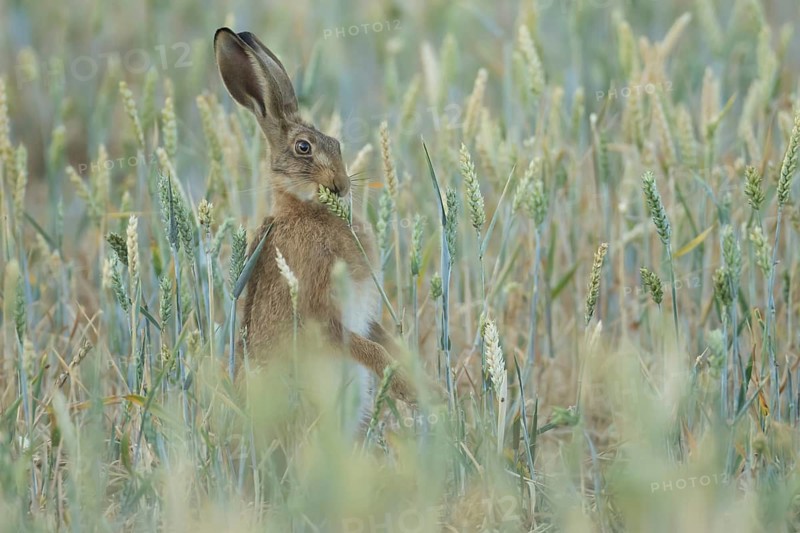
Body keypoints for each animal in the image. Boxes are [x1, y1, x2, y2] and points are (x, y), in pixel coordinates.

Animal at [213, 27, 418, 419]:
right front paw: (405, 386)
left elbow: (379, 335)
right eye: (303, 147)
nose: (340, 184)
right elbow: (362, 345)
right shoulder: (318, 309)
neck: (306, 210)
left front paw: (424, 382)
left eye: (336, 143)